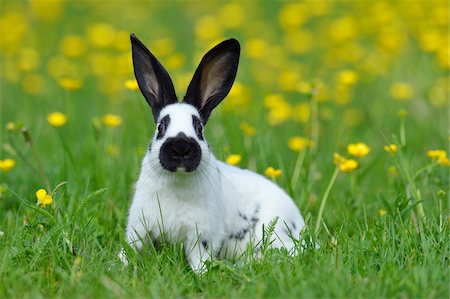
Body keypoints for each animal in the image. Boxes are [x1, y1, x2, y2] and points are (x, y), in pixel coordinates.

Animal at [118, 34, 304, 274]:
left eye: (199, 128)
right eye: (161, 127)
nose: (181, 147)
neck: (177, 182)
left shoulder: (201, 237)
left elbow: (199, 258)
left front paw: (202, 273)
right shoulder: (139, 228)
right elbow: (130, 249)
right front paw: (120, 266)